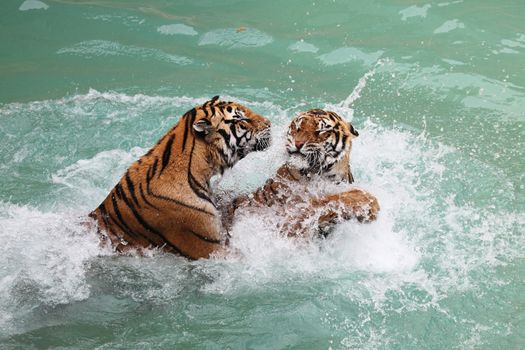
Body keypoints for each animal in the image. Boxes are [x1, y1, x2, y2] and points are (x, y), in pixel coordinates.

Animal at [219, 109, 378, 238]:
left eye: (321, 131)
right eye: (298, 127)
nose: (298, 143)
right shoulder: (292, 212)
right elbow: (328, 199)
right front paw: (370, 203)